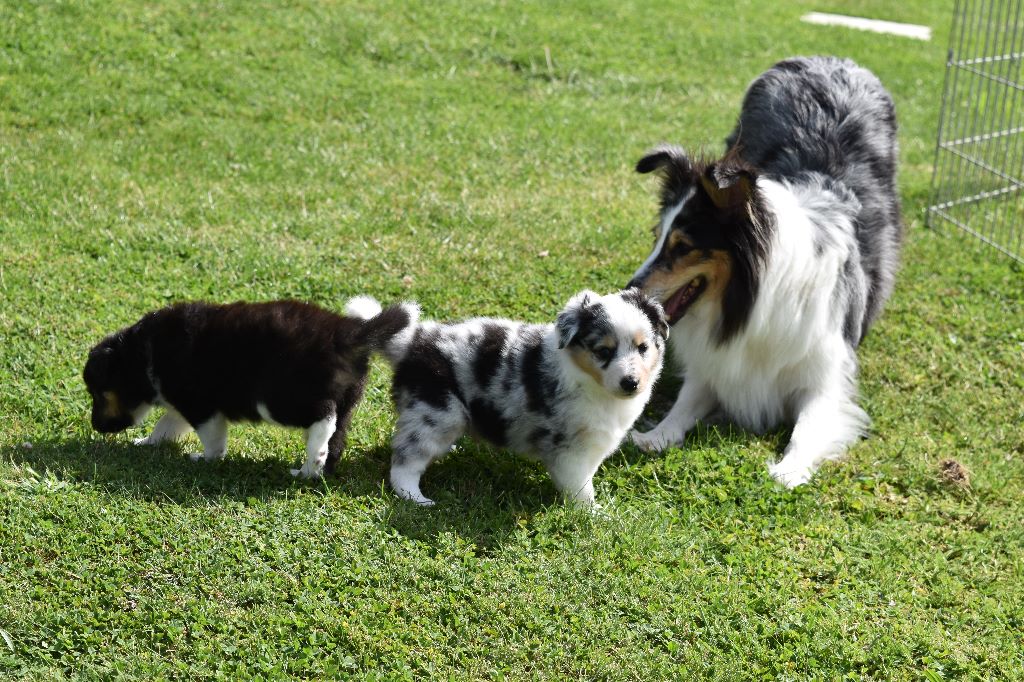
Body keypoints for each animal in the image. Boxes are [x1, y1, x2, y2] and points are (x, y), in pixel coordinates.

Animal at [82, 294, 411, 475]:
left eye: (97, 394)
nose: (96, 427)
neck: (142, 353)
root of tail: (347, 333)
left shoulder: (201, 406)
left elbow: (213, 440)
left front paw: (205, 459)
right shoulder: (181, 403)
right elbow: (166, 425)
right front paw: (147, 443)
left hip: (277, 397)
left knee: (323, 417)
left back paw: (314, 453)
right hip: (346, 400)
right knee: (336, 439)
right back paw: (310, 471)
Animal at [372, 288, 667, 507]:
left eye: (643, 347)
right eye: (603, 351)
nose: (631, 383)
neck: (589, 381)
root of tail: (413, 342)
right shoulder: (569, 450)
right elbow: (580, 486)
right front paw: (593, 514)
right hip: (437, 413)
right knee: (405, 461)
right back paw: (416, 498)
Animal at [622, 57, 905, 483]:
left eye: (683, 247)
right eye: (657, 237)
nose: (629, 293)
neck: (749, 303)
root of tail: (828, 59)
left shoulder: (824, 376)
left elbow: (807, 426)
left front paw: (789, 469)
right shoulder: (718, 364)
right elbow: (688, 399)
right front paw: (656, 434)